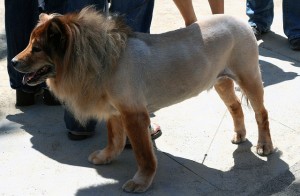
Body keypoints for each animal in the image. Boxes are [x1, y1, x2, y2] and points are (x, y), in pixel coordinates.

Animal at [12, 6, 274, 192]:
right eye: (29, 43)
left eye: (37, 48)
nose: (13, 62)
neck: (102, 58)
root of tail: (240, 21)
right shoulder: (115, 111)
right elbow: (115, 140)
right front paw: (106, 157)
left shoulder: (134, 115)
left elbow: (143, 153)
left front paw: (141, 182)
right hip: (221, 81)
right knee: (236, 106)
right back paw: (239, 134)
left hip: (249, 77)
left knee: (261, 113)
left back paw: (264, 145)